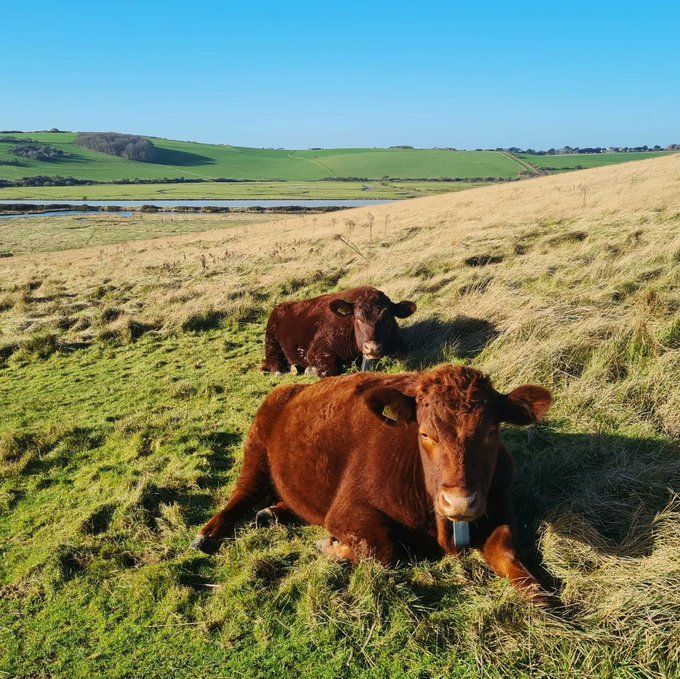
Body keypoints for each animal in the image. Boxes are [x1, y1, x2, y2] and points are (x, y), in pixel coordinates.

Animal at [190, 366, 552, 604]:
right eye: (425, 434)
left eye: (492, 431)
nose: (459, 503)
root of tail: (293, 387)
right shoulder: (347, 512)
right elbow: (383, 550)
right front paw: (331, 547)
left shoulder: (500, 507)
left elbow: (507, 551)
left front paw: (543, 599)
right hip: (255, 447)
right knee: (243, 494)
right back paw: (209, 533)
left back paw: (270, 514)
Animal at [258, 288, 414, 380]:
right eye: (358, 318)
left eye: (388, 319)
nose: (372, 348)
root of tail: (282, 305)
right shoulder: (316, 351)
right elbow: (329, 370)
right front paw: (311, 370)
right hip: (270, 339)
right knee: (272, 360)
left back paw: (295, 367)